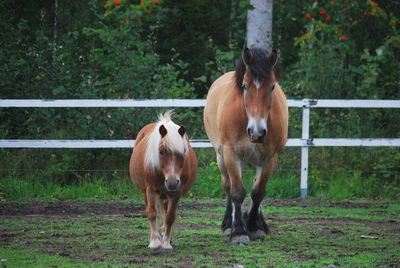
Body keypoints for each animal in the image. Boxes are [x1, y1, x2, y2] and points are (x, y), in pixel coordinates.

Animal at [130, 111, 197, 253]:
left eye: (183, 151)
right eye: (161, 151)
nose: (172, 182)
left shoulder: (176, 193)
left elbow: (170, 217)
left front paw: (166, 243)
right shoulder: (150, 190)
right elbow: (151, 213)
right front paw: (155, 243)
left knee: (166, 213)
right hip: (146, 192)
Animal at [203, 47, 288, 245]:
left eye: (272, 86)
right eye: (244, 86)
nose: (257, 133)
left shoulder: (270, 158)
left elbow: (258, 192)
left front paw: (254, 227)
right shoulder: (231, 154)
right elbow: (237, 192)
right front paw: (239, 232)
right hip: (221, 157)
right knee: (228, 186)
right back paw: (229, 224)